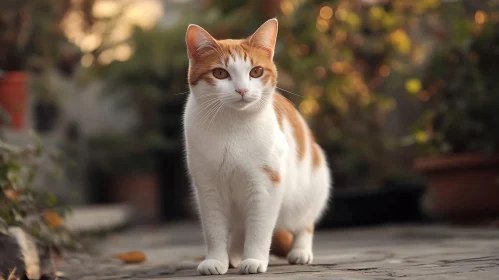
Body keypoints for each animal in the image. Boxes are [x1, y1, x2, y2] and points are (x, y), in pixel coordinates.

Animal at [184, 18, 332, 276]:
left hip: (311, 189)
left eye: (256, 71)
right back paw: (233, 256)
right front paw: (216, 260)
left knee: (304, 224)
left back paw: (300, 251)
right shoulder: (208, 187)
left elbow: (259, 229)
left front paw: (254, 260)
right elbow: (214, 229)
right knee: (237, 231)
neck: (231, 127)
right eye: (220, 73)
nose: (242, 90)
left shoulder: (265, 185)